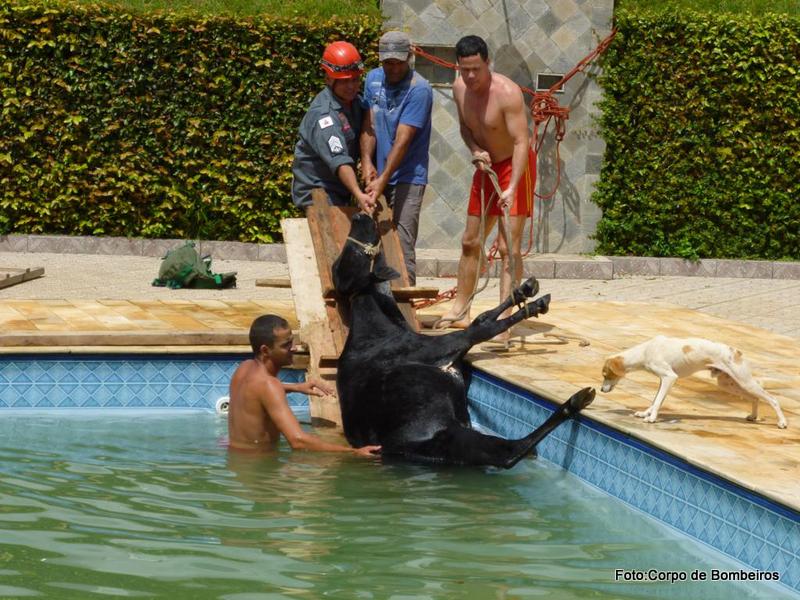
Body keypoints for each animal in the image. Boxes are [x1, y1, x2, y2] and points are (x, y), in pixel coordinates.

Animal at [332, 211, 595, 468]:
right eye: (354, 254)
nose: (359, 215)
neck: (381, 326)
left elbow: (484, 316)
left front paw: (523, 291)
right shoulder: (439, 345)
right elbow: (485, 326)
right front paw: (532, 305)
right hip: (457, 437)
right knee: (510, 453)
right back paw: (575, 401)